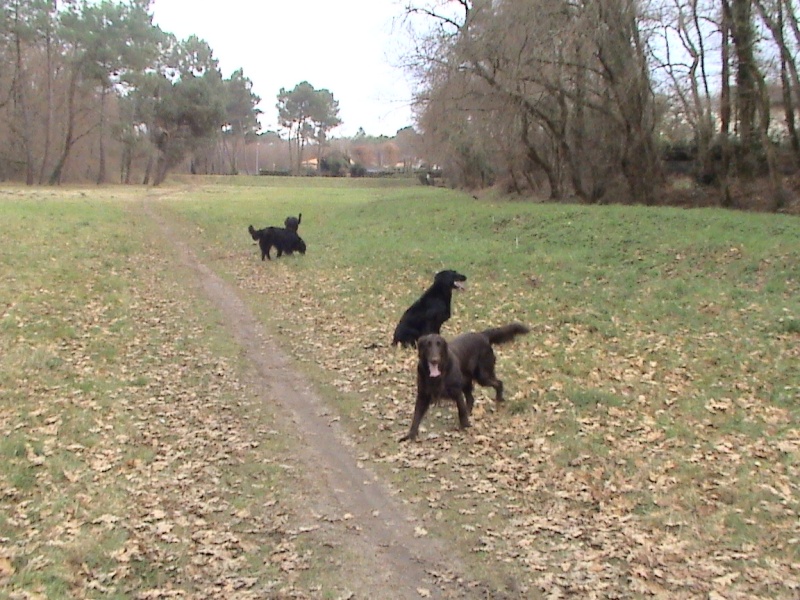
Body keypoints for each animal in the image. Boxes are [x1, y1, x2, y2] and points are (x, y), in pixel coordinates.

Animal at [400, 324, 532, 440]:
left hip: (482, 376)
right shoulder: (423, 395)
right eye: (427, 345)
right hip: (467, 381)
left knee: (498, 383)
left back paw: (499, 400)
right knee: (471, 399)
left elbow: (461, 410)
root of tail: (482, 335)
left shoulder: (456, 392)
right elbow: (416, 416)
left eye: (439, 345)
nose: (434, 360)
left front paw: (465, 426)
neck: (439, 375)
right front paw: (410, 435)